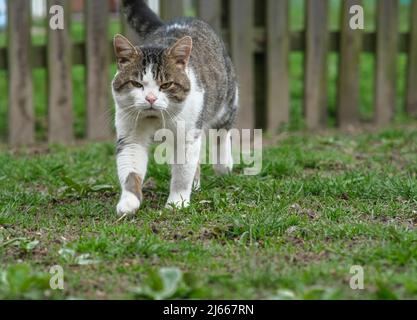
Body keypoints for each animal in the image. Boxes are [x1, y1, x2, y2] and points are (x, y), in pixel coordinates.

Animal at [112, 0, 237, 215]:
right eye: (136, 84)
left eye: (166, 85)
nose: (151, 98)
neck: (155, 119)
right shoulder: (130, 136)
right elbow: (130, 169)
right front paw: (129, 201)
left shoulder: (187, 136)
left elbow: (181, 173)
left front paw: (177, 202)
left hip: (226, 103)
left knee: (222, 132)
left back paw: (223, 166)